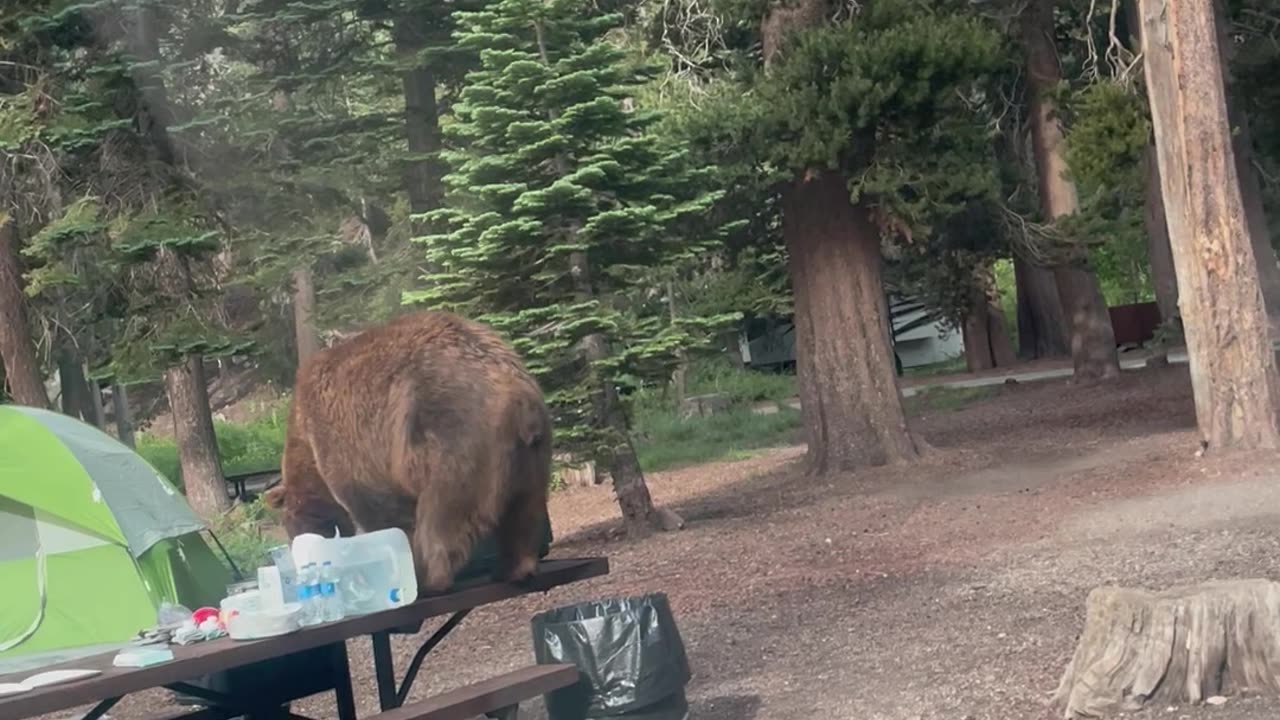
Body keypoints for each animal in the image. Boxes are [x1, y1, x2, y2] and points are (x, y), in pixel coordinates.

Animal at [264, 311, 550, 591]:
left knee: (441, 513)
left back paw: (429, 575)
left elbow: (379, 507)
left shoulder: (347, 438)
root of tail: (516, 392)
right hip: (532, 456)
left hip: (453, 438)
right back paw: (514, 567)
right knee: (524, 513)